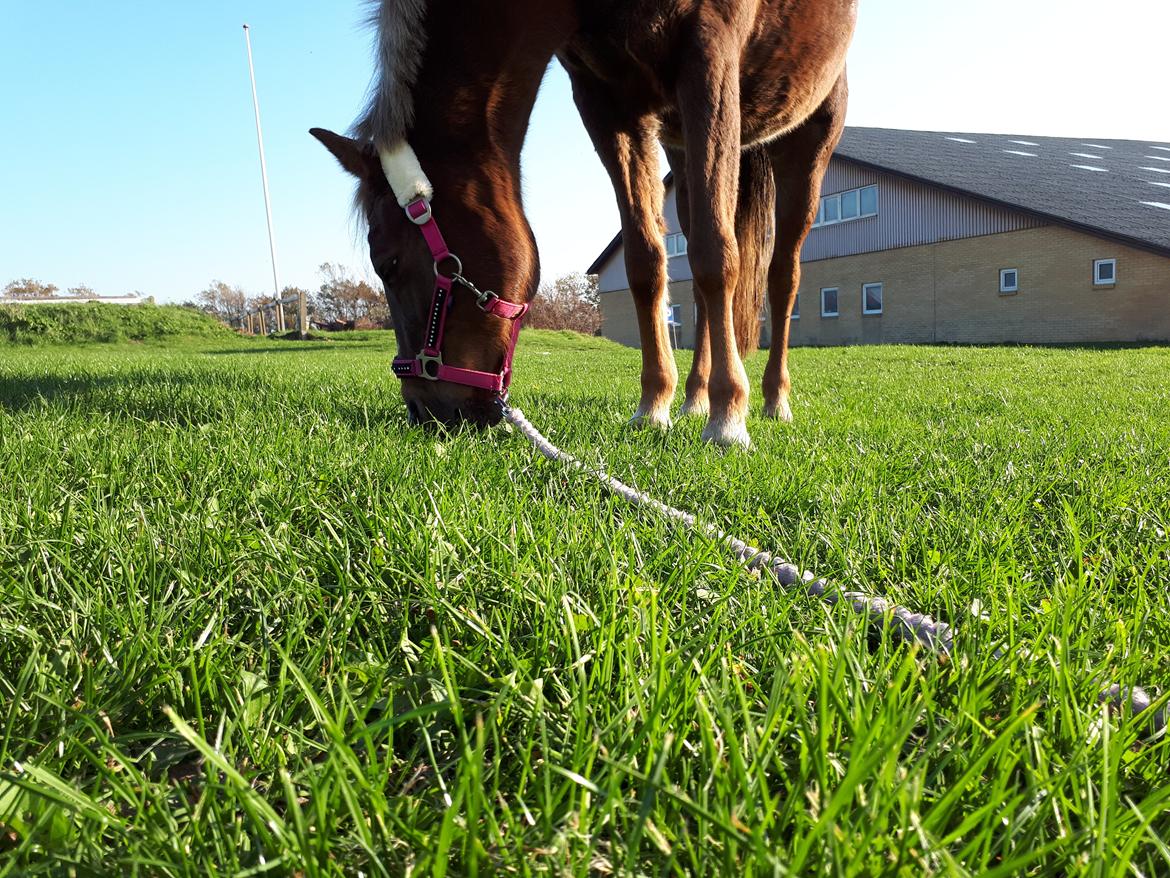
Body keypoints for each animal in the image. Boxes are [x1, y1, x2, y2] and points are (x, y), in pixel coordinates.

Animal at [311, 0, 861, 449]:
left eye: (387, 262)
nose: (423, 410)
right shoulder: (605, 99)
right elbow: (646, 262)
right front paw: (655, 404)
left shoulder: (709, 57)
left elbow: (716, 255)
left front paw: (729, 418)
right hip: (682, 152)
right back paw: (694, 397)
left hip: (808, 142)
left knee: (781, 274)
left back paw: (771, 399)